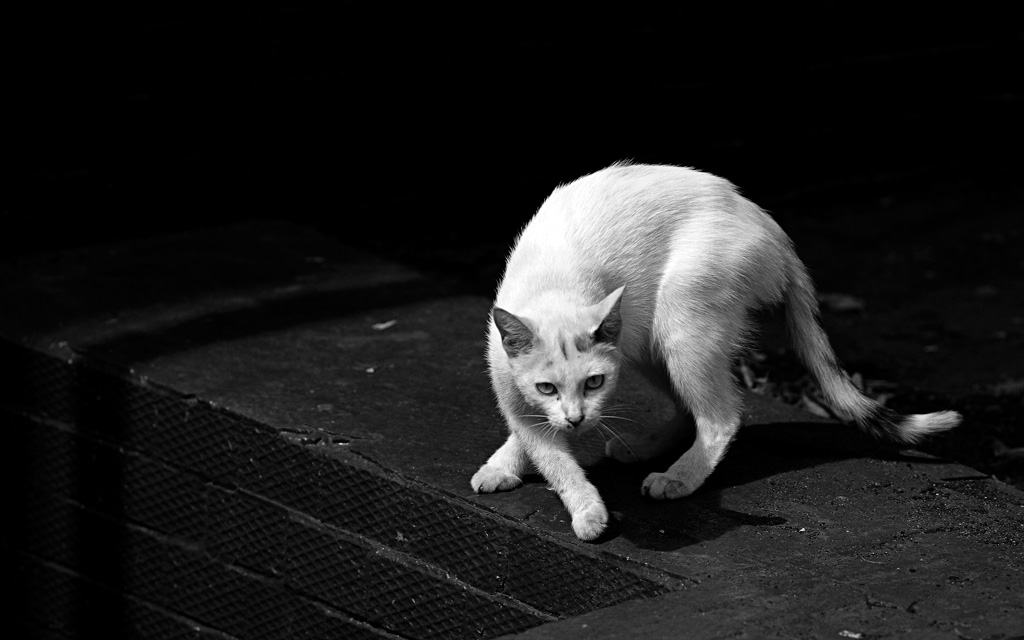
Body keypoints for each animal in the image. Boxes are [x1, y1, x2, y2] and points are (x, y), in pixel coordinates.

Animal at [471, 162, 961, 541]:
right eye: (546, 388)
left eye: (595, 382)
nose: (576, 419)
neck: (553, 290)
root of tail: (769, 224)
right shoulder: (515, 398)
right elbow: (543, 448)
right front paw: (507, 465)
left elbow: (561, 467)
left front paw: (589, 514)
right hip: (647, 340)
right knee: (688, 406)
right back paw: (648, 449)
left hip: (680, 317)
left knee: (721, 415)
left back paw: (679, 476)